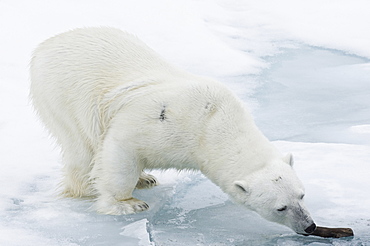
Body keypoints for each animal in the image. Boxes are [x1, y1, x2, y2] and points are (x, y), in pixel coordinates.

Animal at [31, 26, 316, 234]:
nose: (310, 226)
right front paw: (127, 204)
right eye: (281, 207)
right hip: (63, 93)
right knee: (81, 145)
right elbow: (120, 147)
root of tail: (46, 45)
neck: (212, 122)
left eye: (302, 195)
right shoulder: (164, 123)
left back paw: (145, 178)